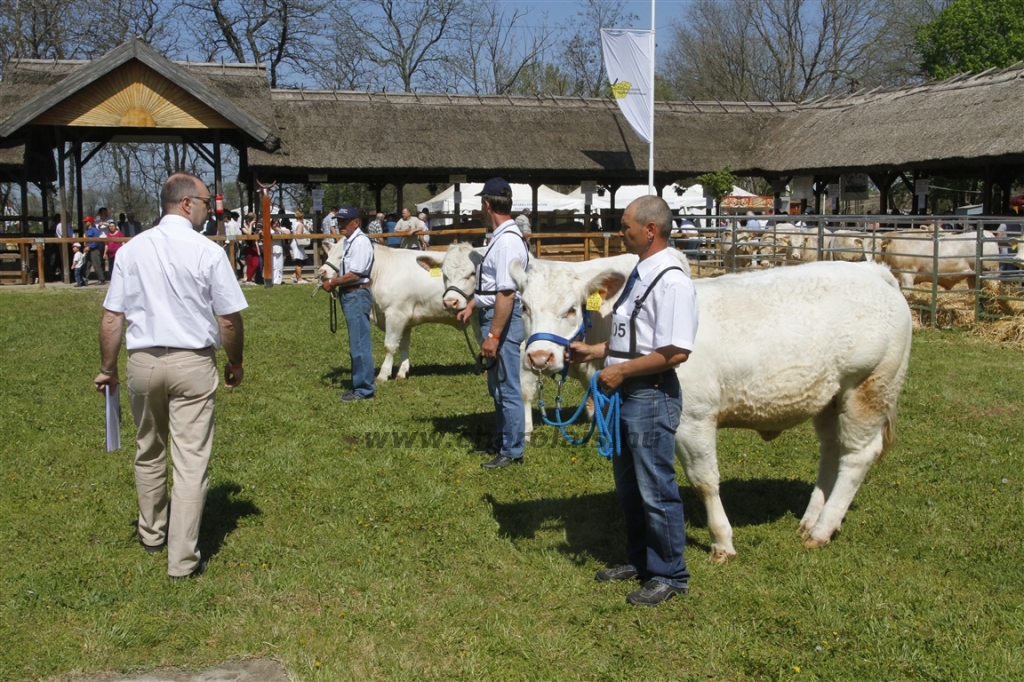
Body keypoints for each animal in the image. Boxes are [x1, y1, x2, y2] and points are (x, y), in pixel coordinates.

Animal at [321, 240, 477, 378]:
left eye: (343, 257)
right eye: (329, 254)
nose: (322, 272)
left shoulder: (396, 314)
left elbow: (389, 346)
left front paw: (383, 375)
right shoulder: (406, 318)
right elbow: (403, 345)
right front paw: (402, 372)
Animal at [512, 258, 913, 561]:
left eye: (571, 309)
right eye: (525, 307)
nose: (539, 357)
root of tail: (874, 270)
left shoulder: (694, 420)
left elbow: (705, 481)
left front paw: (722, 541)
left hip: (868, 388)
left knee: (857, 455)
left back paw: (823, 528)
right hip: (828, 397)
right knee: (831, 450)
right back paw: (811, 518)